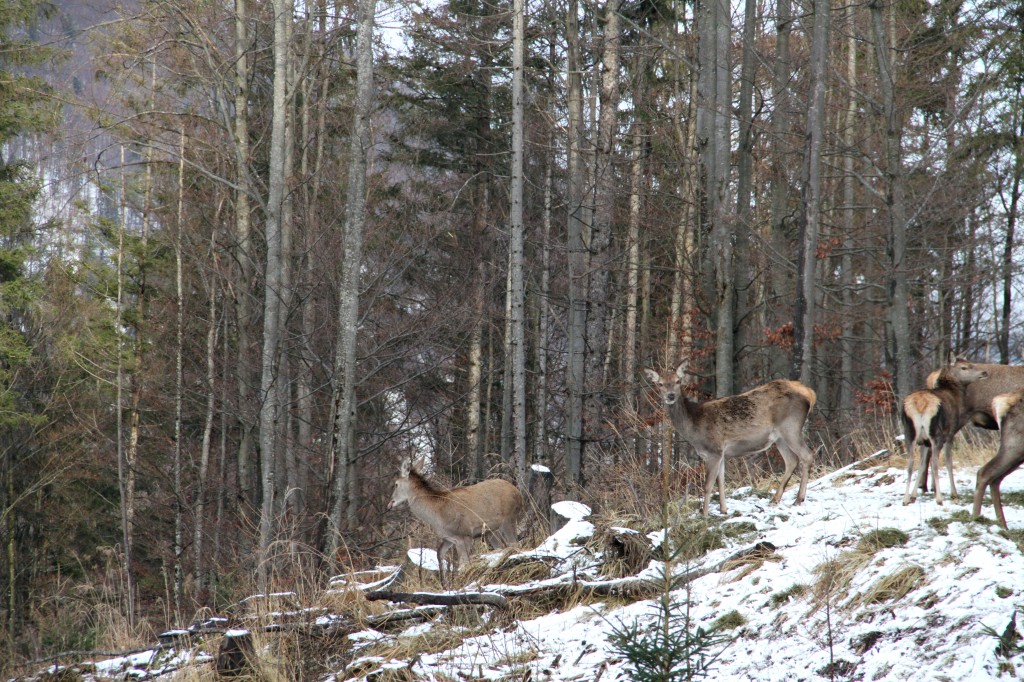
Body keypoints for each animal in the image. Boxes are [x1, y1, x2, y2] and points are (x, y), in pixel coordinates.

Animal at [387, 458, 524, 581]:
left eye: (396, 484)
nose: (390, 504)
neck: (436, 515)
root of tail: (518, 493)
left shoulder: (465, 535)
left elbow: (464, 565)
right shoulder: (449, 537)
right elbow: (439, 554)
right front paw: (444, 582)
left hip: (508, 519)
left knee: (515, 544)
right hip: (490, 531)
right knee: (501, 547)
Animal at [647, 364, 815, 512]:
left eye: (678, 381)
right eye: (660, 384)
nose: (670, 395)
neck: (694, 427)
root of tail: (809, 393)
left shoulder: (713, 450)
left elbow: (708, 486)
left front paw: (705, 515)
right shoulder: (721, 453)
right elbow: (721, 482)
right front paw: (723, 510)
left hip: (790, 426)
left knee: (807, 455)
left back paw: (799, 499)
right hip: (779, 437)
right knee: (792, 460)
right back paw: (775, 499)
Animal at [901, 356, 987, 503]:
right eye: (964, 367)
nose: (984, 372)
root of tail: (920, 404)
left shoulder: (924, 442)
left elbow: (921, 464)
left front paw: (913, 495)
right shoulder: (951, 433)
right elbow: (948, 462)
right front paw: (954, 493)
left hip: (909, 434)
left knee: (910, 463)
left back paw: (906, 499)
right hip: (937, 434)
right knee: (935, 462)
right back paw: (939, 498)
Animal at [970, 387, 1024, 524]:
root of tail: (1000, 401)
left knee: (995, 479)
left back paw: (1002, 525)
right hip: (1015, 446)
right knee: (985, 473)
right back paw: (976, 519)